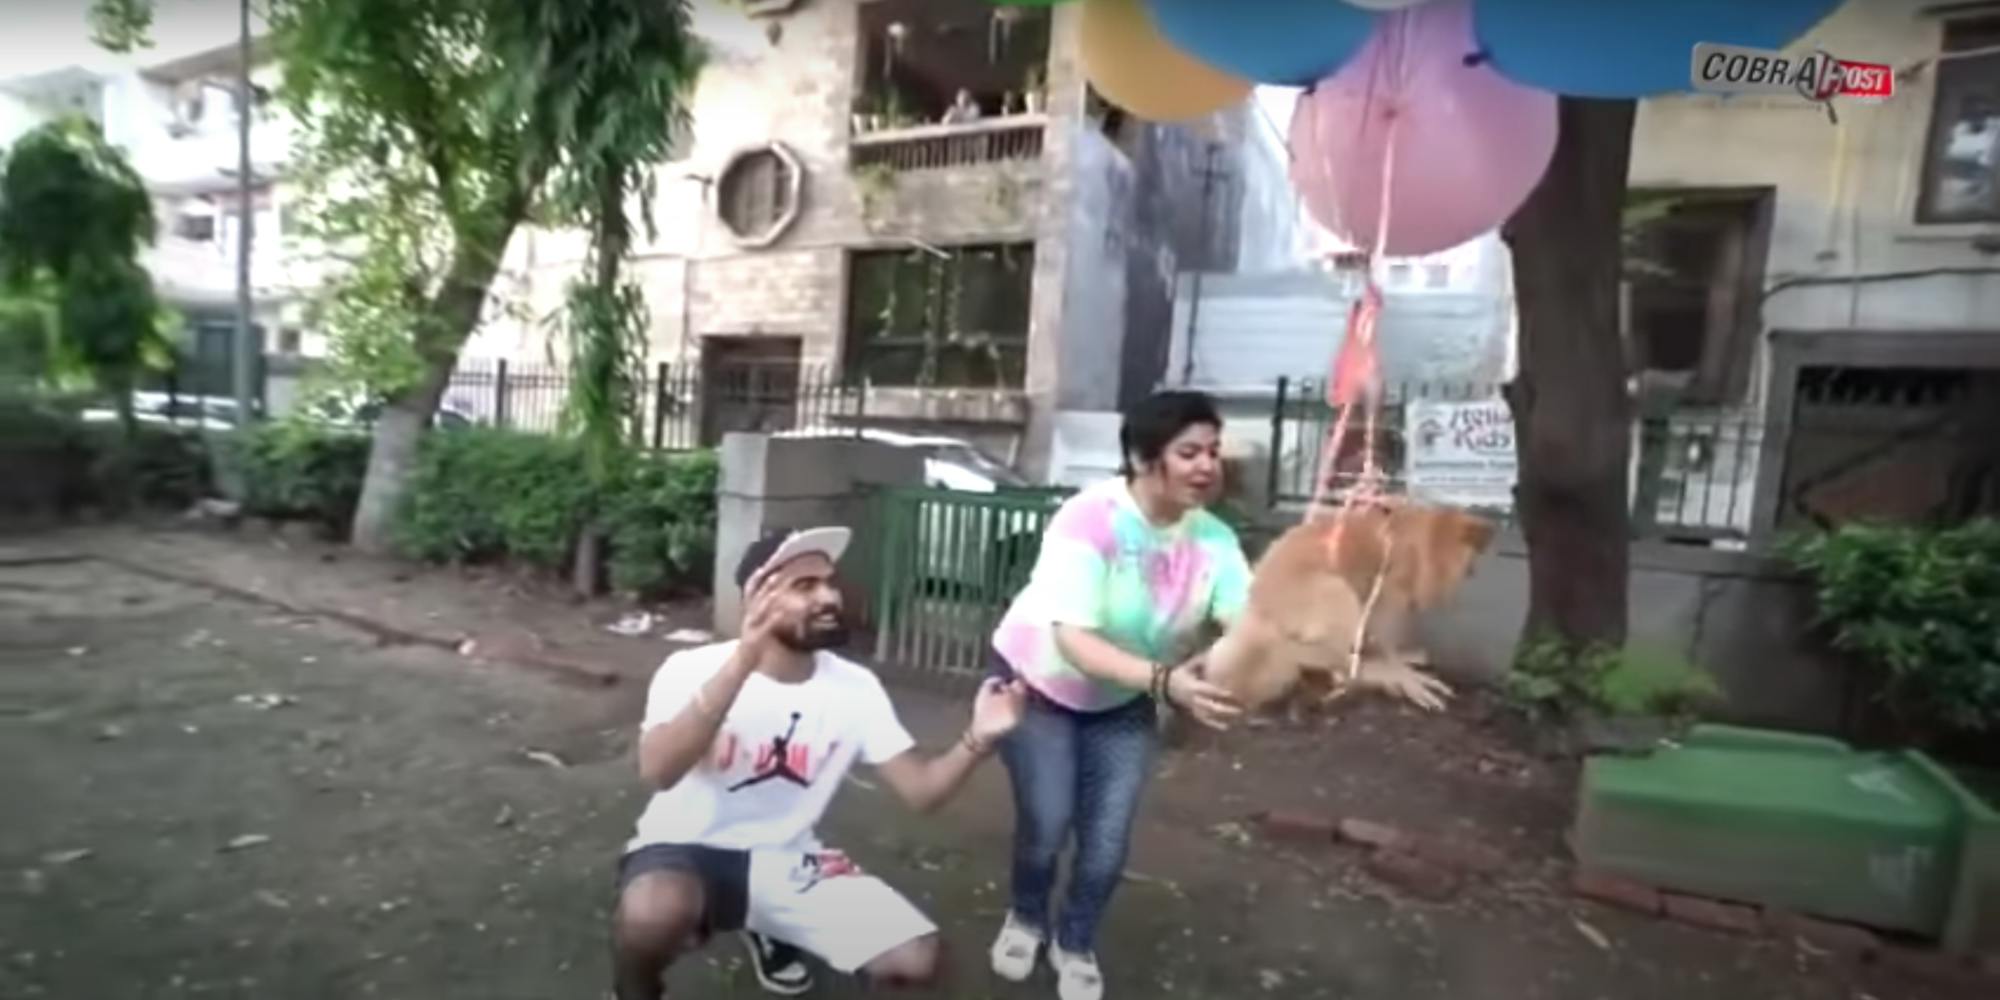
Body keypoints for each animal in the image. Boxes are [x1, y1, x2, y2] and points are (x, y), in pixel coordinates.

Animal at [1192, 504, 1496, 716]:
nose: (1475, 570)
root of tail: (1262, 615)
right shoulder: (1385, 604)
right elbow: (1387, 649)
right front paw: (1404, 674)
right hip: (1338, 591)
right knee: (1337, 666)